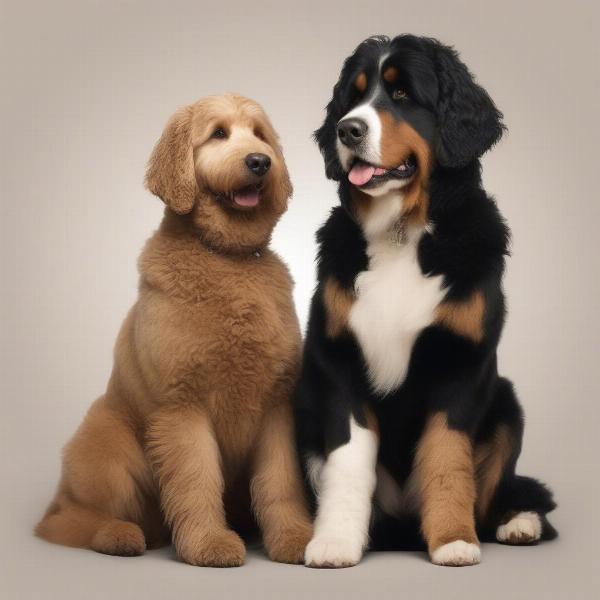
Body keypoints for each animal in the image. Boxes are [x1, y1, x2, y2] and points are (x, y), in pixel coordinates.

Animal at [36, 94, 314, 568]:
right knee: (68, 521)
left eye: (259, 135)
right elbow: (196, 480)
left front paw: (295, 538)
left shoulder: (278, 407)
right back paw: (117, 535)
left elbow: (281, 481)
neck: (226, 259)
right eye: (218, 134)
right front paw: (208, 544)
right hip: (105, 449)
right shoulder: (182, 407)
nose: (260, 161)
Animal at [296, 34, 556, 568]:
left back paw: (519, 522)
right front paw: (335, 542)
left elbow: (446, 459)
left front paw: (453, 540)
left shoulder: (460, 363)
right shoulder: (337, 361)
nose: (347, 129)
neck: (401, 230)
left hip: (507, 403)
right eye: (353, 97)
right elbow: (348, 462)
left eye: (401, 95)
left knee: (501, 491)